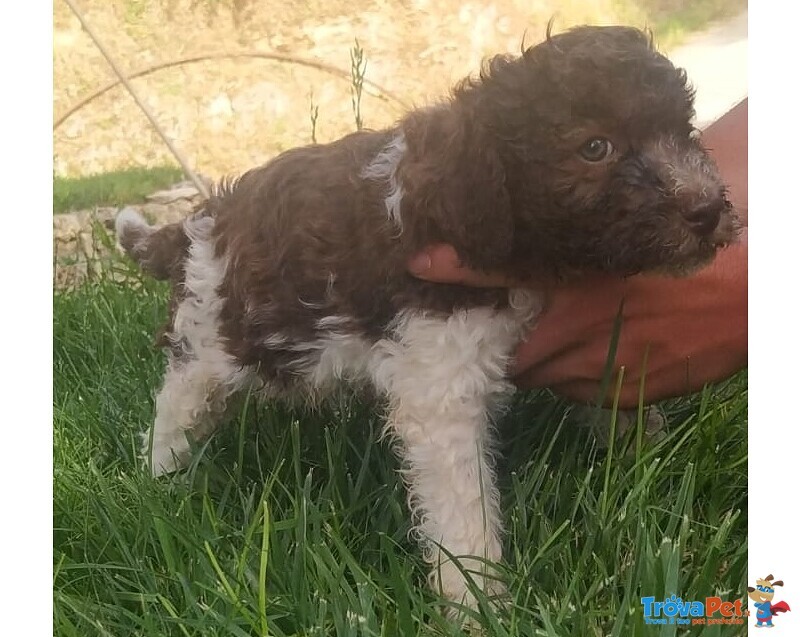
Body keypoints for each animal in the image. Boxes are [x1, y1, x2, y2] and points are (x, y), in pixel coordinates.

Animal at [114, 26, 736, 608]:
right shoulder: (440, 382)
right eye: (595, 147)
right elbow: (462, 507)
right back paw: (159, 483)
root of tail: (197, 225)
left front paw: (647, 456)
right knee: (174, 412)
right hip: (209, 343)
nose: (708, 209)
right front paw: (477, 603)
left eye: (685, 129)